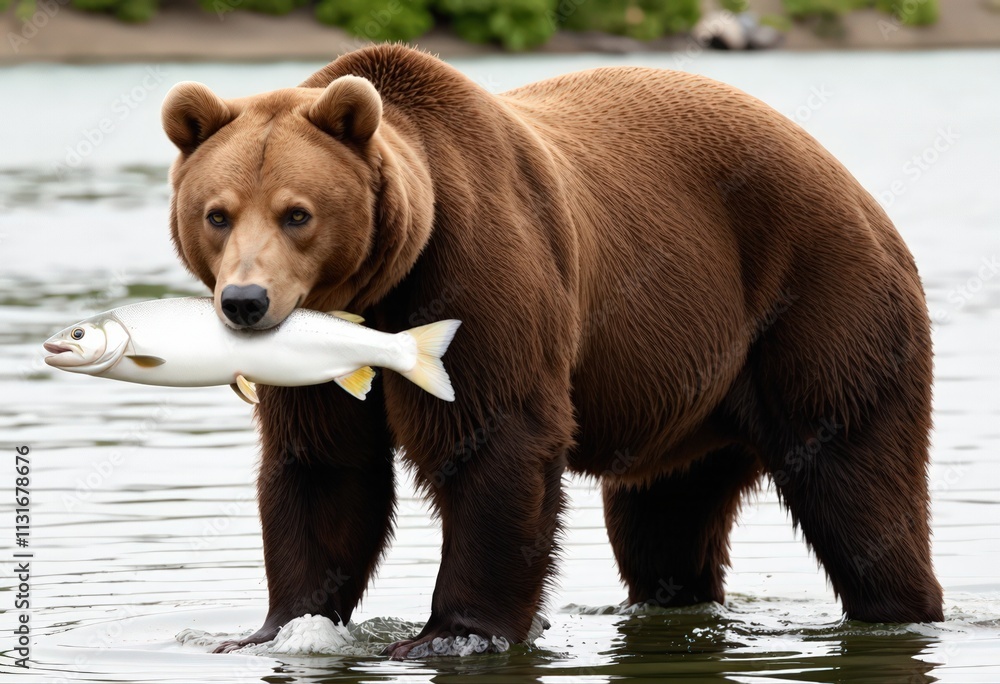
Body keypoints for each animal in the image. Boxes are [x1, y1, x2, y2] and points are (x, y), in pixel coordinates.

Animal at [160, 44, 944, 658]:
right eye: (216, 214)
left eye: (297, 213)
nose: (246, 301)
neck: (380, 290)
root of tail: (845, 176)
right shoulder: (318, 358)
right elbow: (324, 466)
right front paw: (277, 628)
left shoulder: (476, 277)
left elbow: (496, 439)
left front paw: (453, 634)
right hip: (690, 390)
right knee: (665, 520)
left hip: (817, 301)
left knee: (857, 480)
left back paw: (900, 608)